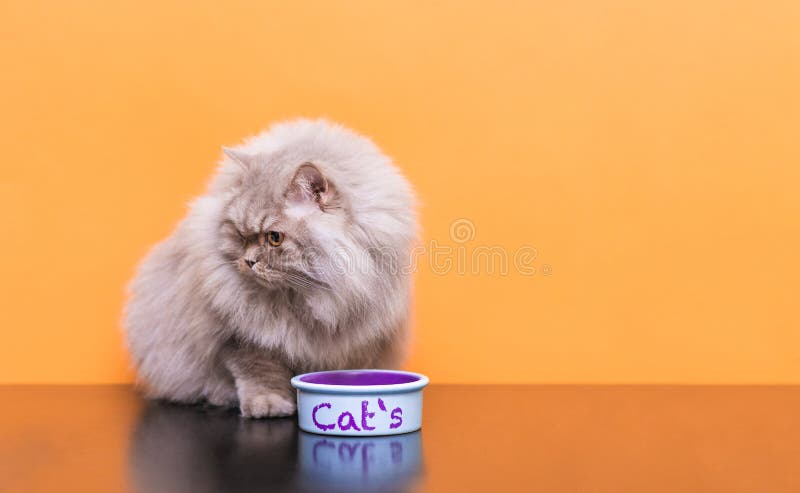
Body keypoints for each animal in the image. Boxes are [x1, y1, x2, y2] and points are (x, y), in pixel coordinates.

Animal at [123, 119, 418, 416]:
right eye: (240, 234)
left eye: (274, 238)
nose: (249, 261)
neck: (304, 300)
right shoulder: (241, 338)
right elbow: (259, 372)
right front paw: (268, 405)